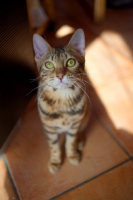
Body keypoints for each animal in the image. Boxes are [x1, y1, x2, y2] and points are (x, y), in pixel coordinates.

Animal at [32, 28, 90, 174]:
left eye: (70, 62)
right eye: (48, 64)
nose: (60, 75)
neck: (62, 98)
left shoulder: (74, 124)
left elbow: (71, 141)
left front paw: (72, 155)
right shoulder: (49, 128)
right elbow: (54, 147)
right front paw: (55, 161)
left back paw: (80, 141)